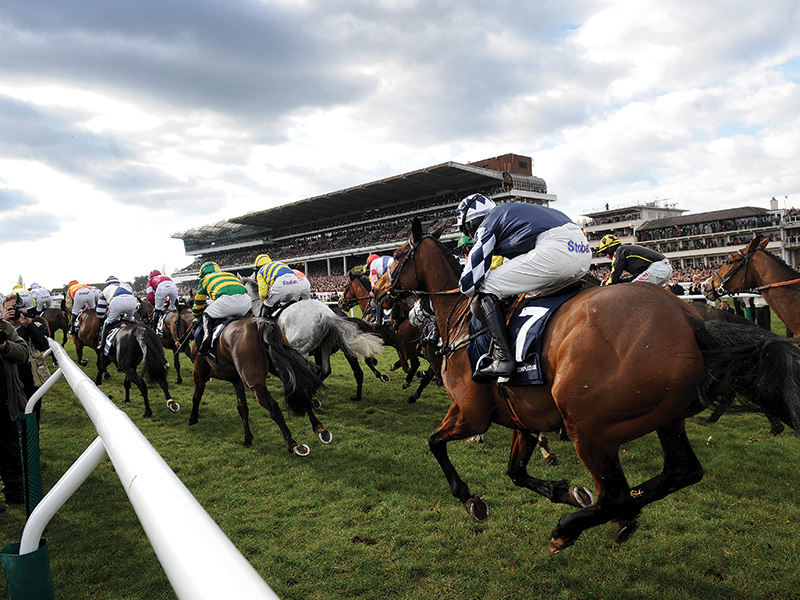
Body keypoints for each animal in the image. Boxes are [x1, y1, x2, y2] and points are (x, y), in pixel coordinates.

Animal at [189, 316, 330, 455]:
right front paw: (248, 438)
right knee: (300, 390)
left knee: (273, 406)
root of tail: (260, 323)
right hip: (280, 367)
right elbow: (242, 408)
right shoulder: (237, 380)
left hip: (255, 382)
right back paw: (319, 428)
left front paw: (193, 418)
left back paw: (292, 444)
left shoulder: (199, 373)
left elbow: (196, 397)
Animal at [383, 217, 800, 555]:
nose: (380, 292)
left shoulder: (472, 411)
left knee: (615, 494)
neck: (460, 319)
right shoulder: (523, 415)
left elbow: (435, 443)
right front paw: (564, 491)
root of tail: (691, 320)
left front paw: (470, 498)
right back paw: (625, 512)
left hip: (588, 424)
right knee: (680, 472)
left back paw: (571, 529)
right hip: (664, 417)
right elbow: (515, 471)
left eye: (398, 255)